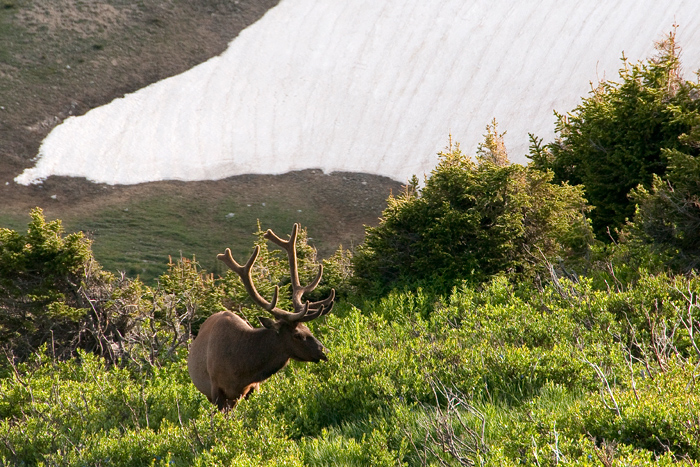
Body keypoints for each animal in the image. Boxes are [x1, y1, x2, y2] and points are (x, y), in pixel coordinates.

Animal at [187, 224, 334, 410]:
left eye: (308, 329)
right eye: (297, 335)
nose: (325, 351)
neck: (241, 370)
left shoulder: (254, 388)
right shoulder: (217, 390)